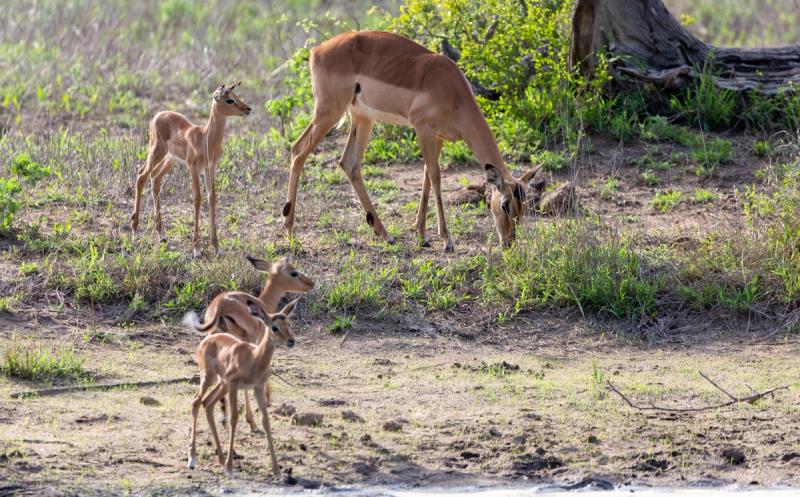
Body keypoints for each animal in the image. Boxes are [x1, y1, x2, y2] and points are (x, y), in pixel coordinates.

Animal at [130, 82, 252, 256]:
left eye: (237, 96)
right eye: (229, 100)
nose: (248, 109)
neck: (205, 138)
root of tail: (158, 115)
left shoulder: (210, 168)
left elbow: (212, 197)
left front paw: (216, 246)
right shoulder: (193, 168)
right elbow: (197, 198)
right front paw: (196, 248)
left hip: (171, 159)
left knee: (155, 178)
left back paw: (162, 234)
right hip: (156, 151)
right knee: (141, 175)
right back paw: (134, 229)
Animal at [184, 298, 300, 477]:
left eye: (289, 324)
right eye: (275, 327)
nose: (291, 341)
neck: (254, 359)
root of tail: (205, 341)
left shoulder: (257, 388)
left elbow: (265, 421)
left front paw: (276, 470)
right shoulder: (234, 385)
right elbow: (233, 419)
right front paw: (230, 467)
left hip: (222, 384)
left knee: (207, 404)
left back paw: (220, 458)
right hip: (209, 379)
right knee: (196, 402)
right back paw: (192, 459)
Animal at [282, 31, 539, 250]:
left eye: (523, 206)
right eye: (505, 204)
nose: (508, 242)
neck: (453, 90)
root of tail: (317, 49)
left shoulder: (438, 136)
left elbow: (426, 175)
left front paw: (422, 235)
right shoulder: (422, 129)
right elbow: (435, 176)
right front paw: (446, 240)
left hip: (362, 118)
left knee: (349, 163)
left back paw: (384, 234)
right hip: (329, 112)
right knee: (298, 151)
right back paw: (290, 230)